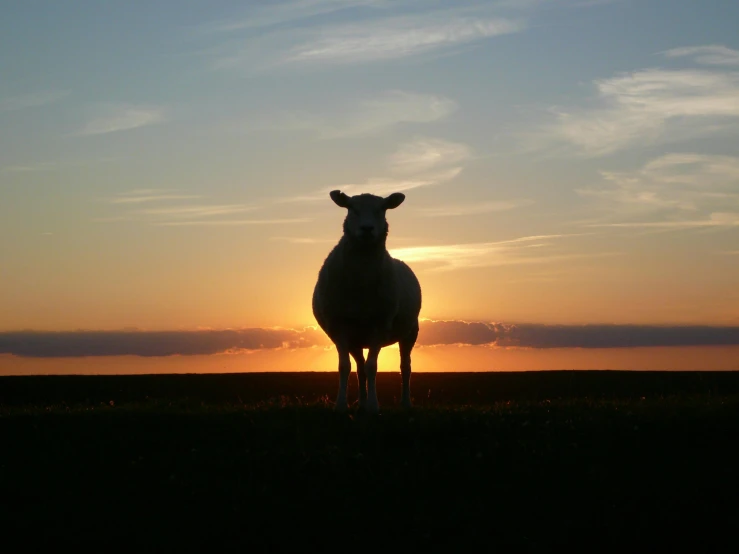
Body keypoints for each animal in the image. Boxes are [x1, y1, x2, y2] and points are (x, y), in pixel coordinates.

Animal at [312, 188, 422, 412]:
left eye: (382, 209)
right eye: (351, 209)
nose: (367, 228)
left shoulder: (379, 325)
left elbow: (373, 367)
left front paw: (373, 405)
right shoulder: (339, 326)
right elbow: (344, 367)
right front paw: (341, 405)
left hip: (410, 332)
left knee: (405, 367)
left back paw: (405, 402)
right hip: (356, 338)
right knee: (359, 368)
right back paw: (361, 403)